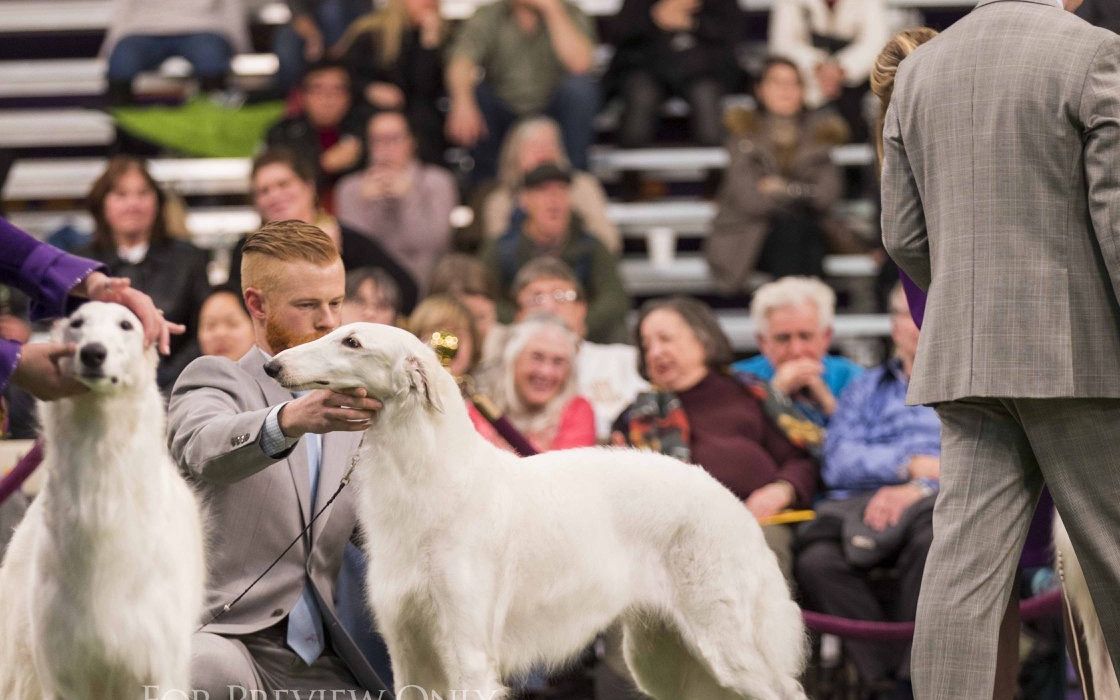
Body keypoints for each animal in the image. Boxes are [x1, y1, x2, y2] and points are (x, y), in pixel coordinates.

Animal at [266, 322, 810, 698]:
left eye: (353, 342)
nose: (273, 365)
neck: (435, 480)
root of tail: (733, 502)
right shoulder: (407, 652)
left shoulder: (468, 652)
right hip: (660, 655)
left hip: (725, 644)